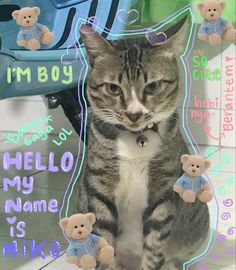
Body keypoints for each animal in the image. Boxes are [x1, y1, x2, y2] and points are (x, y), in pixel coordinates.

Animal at [74, 23, 209, 270]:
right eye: (113, 88)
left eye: (153, 86)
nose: (134, 114)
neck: (136, 140)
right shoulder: (99, 190)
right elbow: (104, 241)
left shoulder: (164, 191)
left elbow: (155, 246)